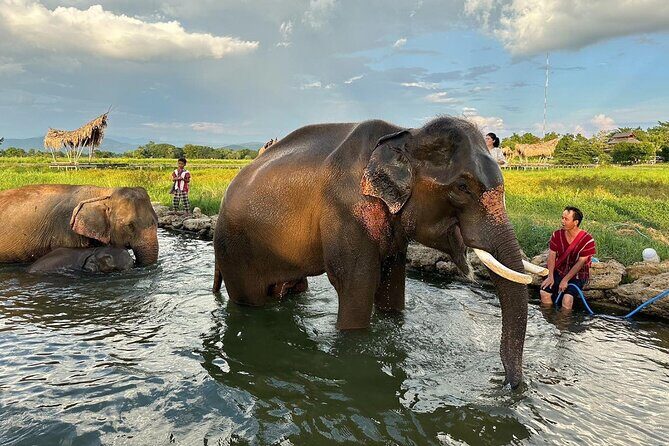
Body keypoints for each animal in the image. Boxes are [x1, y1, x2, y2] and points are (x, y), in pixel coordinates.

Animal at [213, 117, 535, 387]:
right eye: (462, 187)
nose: (509, 385)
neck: (406, 134)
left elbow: (392, 280)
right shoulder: (346, 209)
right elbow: (357, 283)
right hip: (235, 252)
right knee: (251, 301)